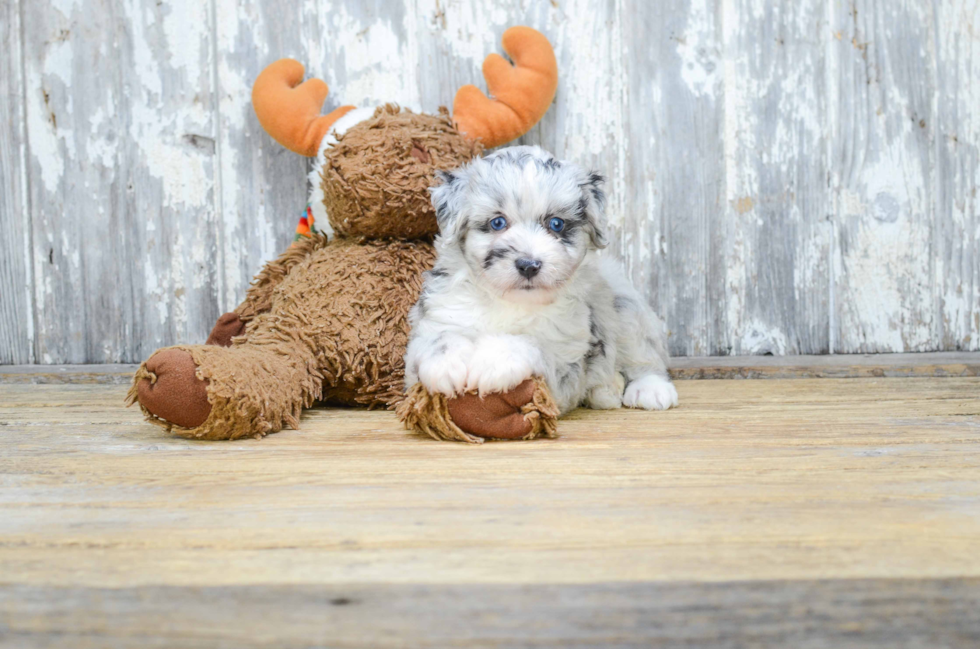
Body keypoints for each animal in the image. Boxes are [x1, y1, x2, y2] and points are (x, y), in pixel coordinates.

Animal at [402, 144, 676, 412]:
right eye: (497, 222)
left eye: (556, 224)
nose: (528, 265)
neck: (508, 301)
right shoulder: (437, 321)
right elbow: (436, 339)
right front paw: (446, 364)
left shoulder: (567, 362)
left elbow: (531, 343)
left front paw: (493, 361)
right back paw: (606, 391)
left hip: (627, 310)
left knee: (645, 356)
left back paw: (649, 389)